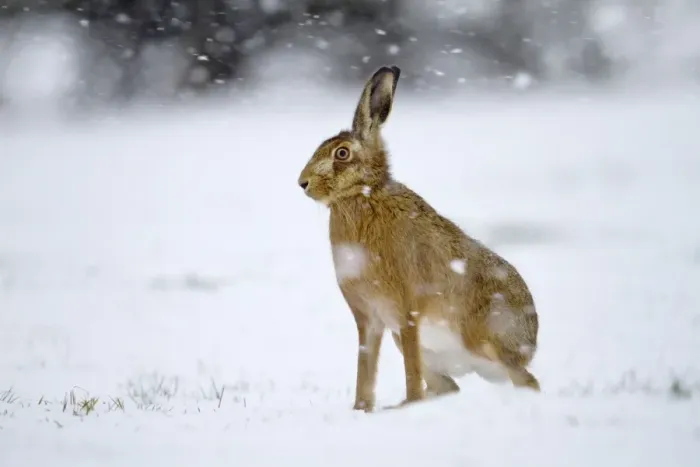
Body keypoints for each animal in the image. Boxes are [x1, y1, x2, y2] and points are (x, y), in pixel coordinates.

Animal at [297, 65, 540, 412]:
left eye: (341, 153)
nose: (302, 183)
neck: (362, 195)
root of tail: (532, 342)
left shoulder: (407, 310)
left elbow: (408, 372)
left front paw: (406, 403)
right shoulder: (369, 319)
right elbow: (365, 369)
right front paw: (360, 410)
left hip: (485, 339)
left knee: (527, 381)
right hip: (418, 347)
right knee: (451, 387)